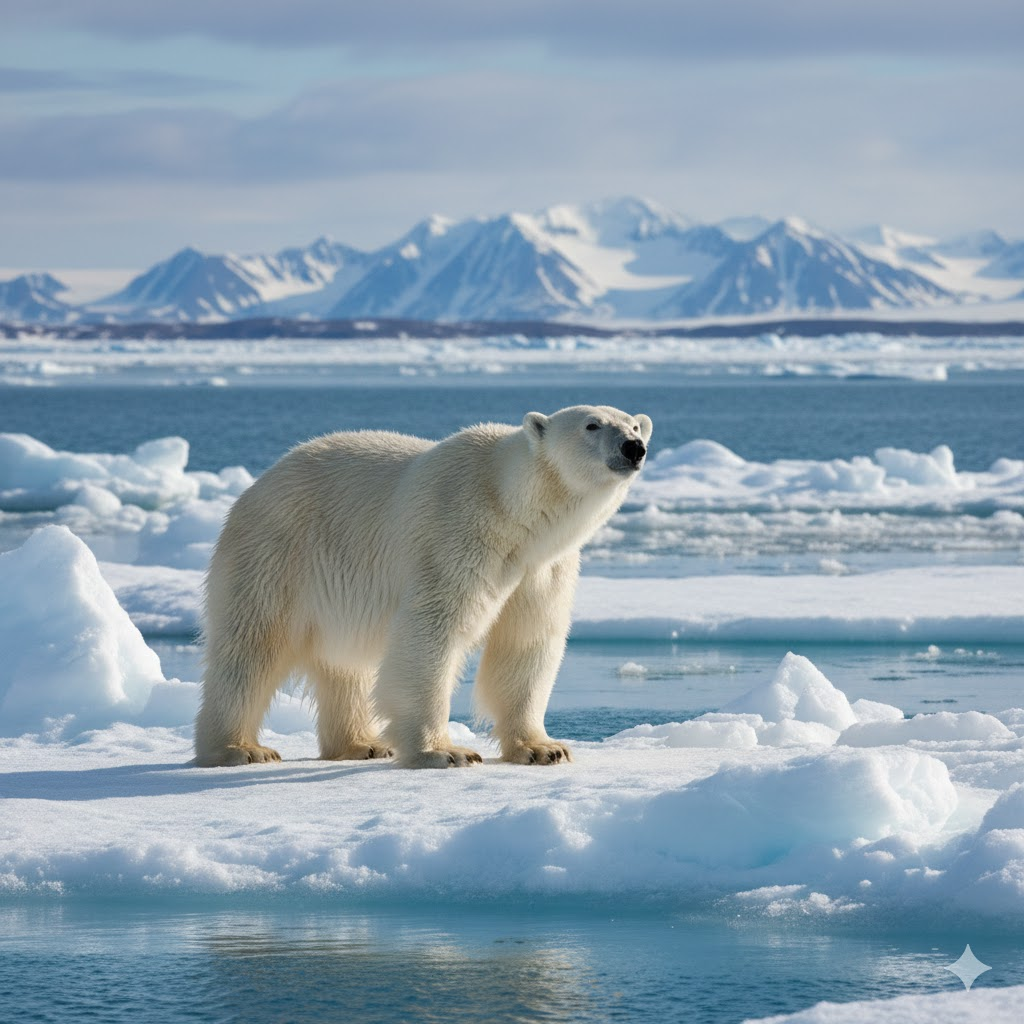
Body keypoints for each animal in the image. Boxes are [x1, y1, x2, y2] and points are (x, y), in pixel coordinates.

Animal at [193, 405, 653, 769]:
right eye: (592, 424)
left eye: (634, 425)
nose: (634, 447)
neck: (511, 505)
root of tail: (255, 487)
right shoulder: (459, 533)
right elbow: (434, 629)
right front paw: (446, 752)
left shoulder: (542, 568)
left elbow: (528, 640)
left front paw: (545, 748)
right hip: (278, 554)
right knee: (251, 648)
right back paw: (240, 749)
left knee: (345, 663)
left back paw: (362, 744)